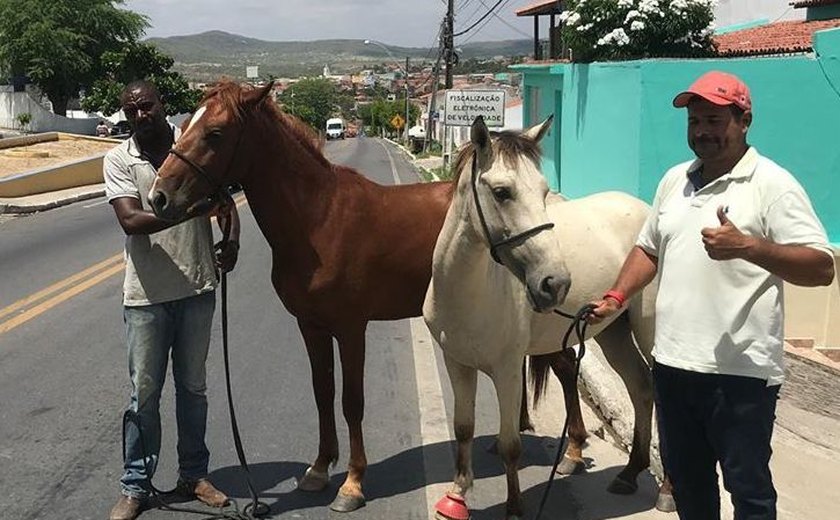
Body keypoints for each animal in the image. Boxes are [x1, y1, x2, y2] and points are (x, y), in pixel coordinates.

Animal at [424, 118, 668, 520]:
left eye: (543, 190)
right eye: (502, 192)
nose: (556, 283)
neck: (470, 292)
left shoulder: (508, 370)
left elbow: (510, 443)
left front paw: (514, 508)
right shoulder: (456, 362)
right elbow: (463, 428)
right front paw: (457, 497)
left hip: (649, 332)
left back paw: (668, 492)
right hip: (612, 331)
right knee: (641, 386)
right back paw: (630, 473)